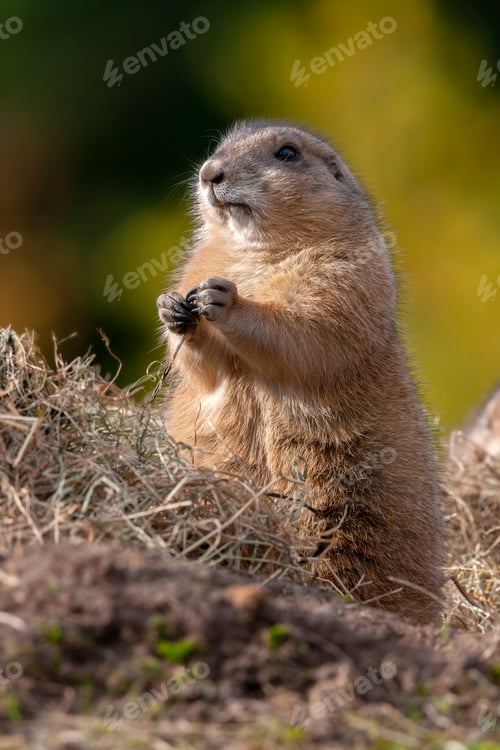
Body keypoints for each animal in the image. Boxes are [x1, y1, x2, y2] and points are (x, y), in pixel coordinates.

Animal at [157, 120, 444, 624]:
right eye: (220, 146)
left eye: (287, 153)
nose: (210, 172)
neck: (256, 253)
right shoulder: (195, 264)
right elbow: (205, 369)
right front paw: (173, 308)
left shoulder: (346, 274)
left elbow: (309, 328)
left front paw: (226, 300)